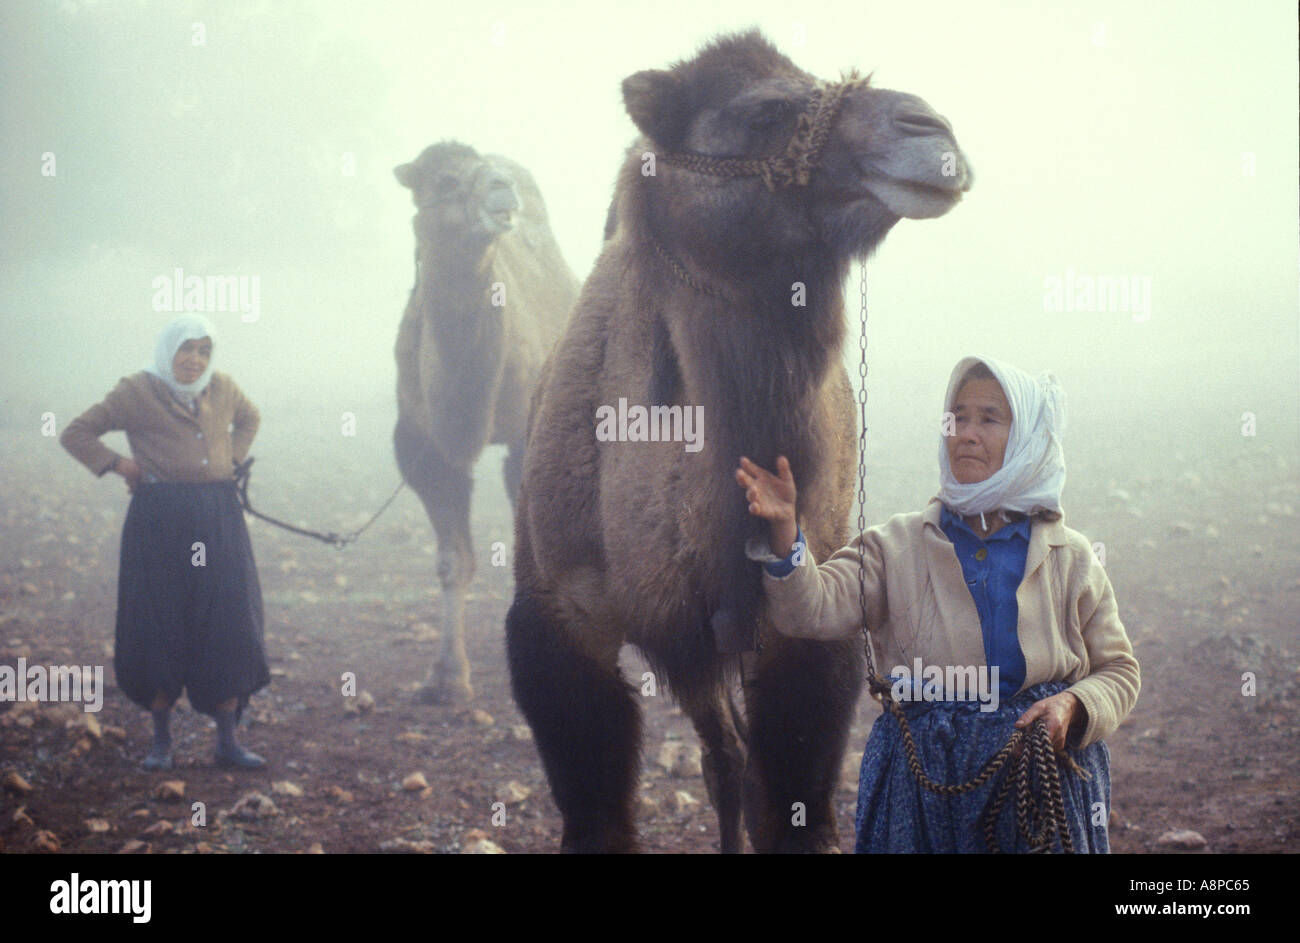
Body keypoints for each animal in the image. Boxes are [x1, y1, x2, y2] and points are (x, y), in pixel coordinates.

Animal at [392, 137, 582, 697]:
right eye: (445, 181)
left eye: (483, 168)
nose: (503, 186)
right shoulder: (421, 447)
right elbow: (453, 561)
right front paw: (446, 676)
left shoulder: (525, 438)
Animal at [501, 31, 972, 853]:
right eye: (763, 115)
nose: (931, 130)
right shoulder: (558, 620)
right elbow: (598, 811)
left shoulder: (803, 623)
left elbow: (789, 800)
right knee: (721, 754)